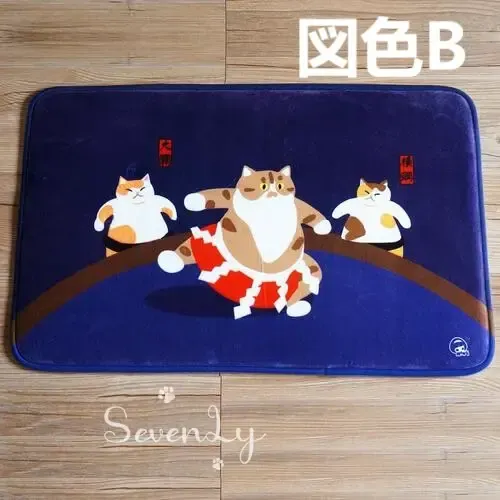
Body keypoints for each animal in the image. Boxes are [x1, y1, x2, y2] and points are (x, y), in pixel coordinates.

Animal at [157, 165, 331, 319]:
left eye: (280, 185)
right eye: (263, 186)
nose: (273, 191)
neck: (268, 212)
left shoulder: (298, 207)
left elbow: (310, 213)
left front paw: (324, 226)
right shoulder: (233, 197)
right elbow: (223, 193)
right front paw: (194, 199)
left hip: (309, 269)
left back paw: (296, 307)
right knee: (187, 249)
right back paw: (170, 260)